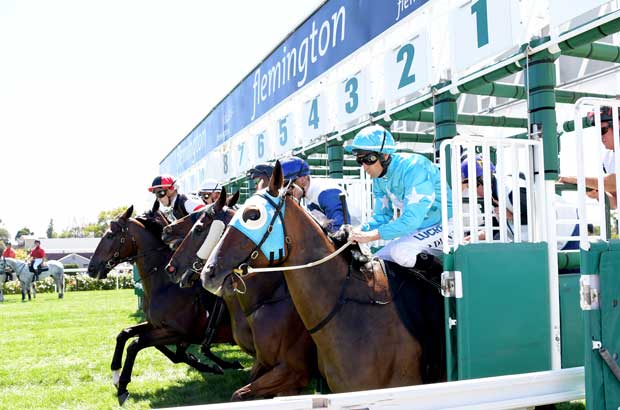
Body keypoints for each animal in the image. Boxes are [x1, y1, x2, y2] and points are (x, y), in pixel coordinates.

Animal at [86, 207, 240, 406]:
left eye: (110, 235)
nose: (91, 268)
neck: (165, 284)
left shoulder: (179, 332)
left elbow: (135, 344)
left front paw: (123, 387)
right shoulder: (157, 326)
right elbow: (125, 334)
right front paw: (115, 373)